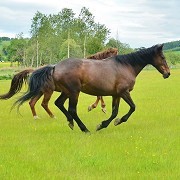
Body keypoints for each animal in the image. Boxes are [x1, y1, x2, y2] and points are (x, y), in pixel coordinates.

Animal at [13, 44, 169, 133]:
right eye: (162, 57)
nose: (168, 73)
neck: (126, 66)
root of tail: (55, 66)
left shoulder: (116, 95)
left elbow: (114, 112)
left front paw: (104, 124)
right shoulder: (124, 93)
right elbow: (132, 107)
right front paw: (113, 122)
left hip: (66, 92)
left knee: (58, 104)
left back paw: (70, 122)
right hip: (73, 92)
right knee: (70, 109)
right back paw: (84, 129)